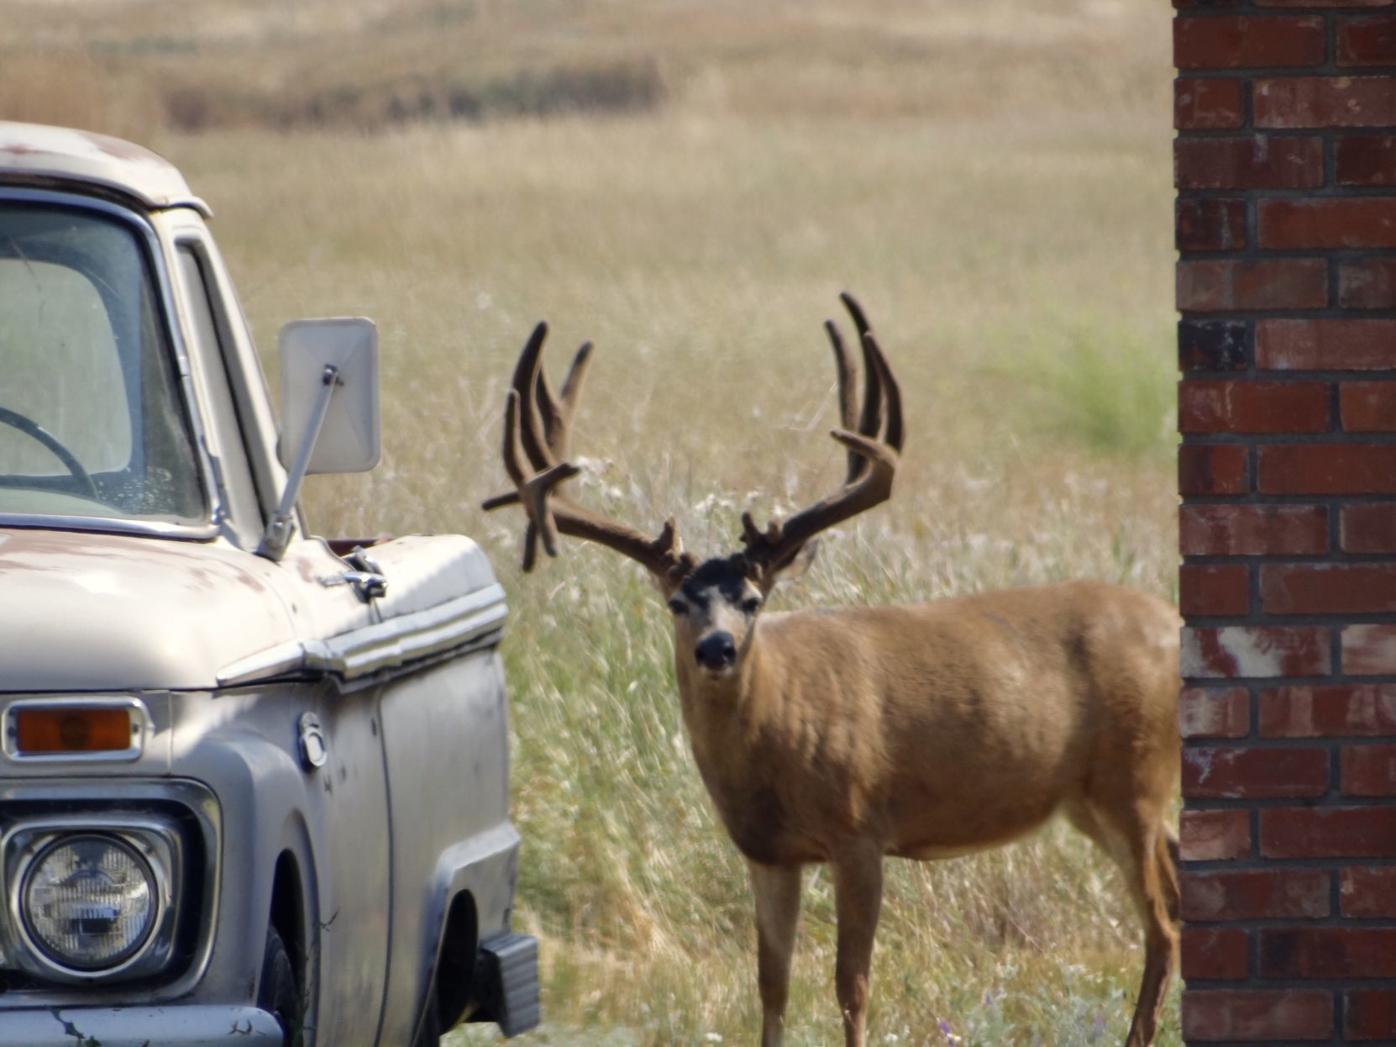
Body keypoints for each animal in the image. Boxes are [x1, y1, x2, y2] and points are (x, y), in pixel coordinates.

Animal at [482, 294, 1182, 1047]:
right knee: (1176, 893)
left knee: (1161, 924)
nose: (717, 649)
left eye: (753, 599)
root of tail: (1174, 621)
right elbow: (771, 985)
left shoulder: (860, 829)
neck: (778, 740)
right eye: (678, 601)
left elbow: (852, 985)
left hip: (1134, 781)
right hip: (1095, 799)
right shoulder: (768, 853)